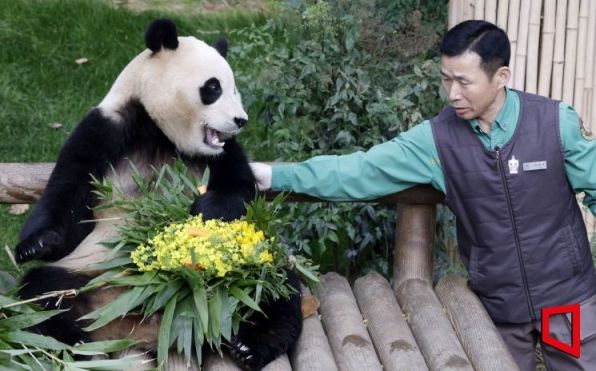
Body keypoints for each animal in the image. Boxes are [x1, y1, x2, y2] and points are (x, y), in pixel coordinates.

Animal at [15, 18, 302, 371]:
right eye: (213, 88)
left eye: (234, 89)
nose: (240, 120)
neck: (159, 130)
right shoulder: (105, 128)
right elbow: (68, 196)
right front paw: (36, 244)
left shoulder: (222, 153)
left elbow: (240, 190)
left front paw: (205, 210)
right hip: (88, 271)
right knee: (43, 294)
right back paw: (75, 341)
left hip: (253, 260)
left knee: (274, 286)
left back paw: (249, 346)